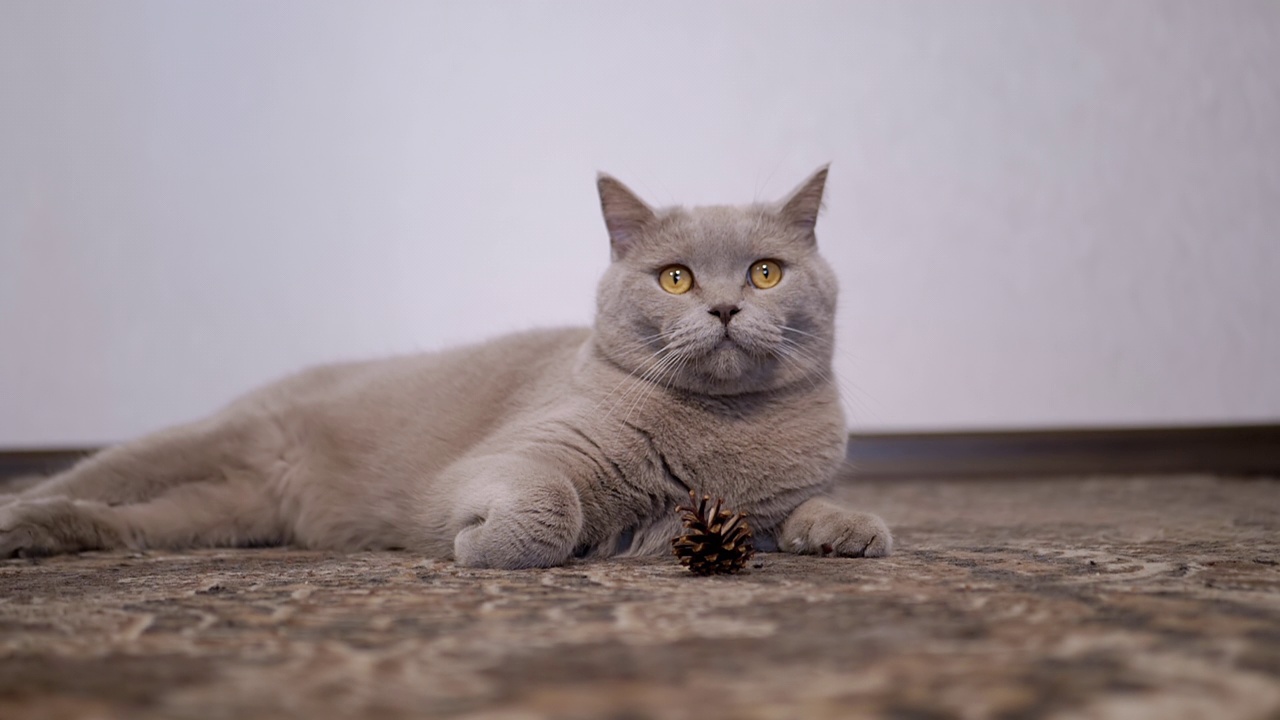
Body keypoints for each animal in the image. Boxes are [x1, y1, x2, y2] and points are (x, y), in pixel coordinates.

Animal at [0, 167, 896, 566]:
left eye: (765, 273)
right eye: (675, 278)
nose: (724, 308)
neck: (724, 430)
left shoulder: (767, 505)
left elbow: (802, 510)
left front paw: (850, 528)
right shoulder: (522, 456)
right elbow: (550, 505)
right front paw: (485, 542)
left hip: (219, 513)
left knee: (126, 522)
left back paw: (47, 535)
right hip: (203, 439)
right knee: (82, 475)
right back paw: (19, 519)